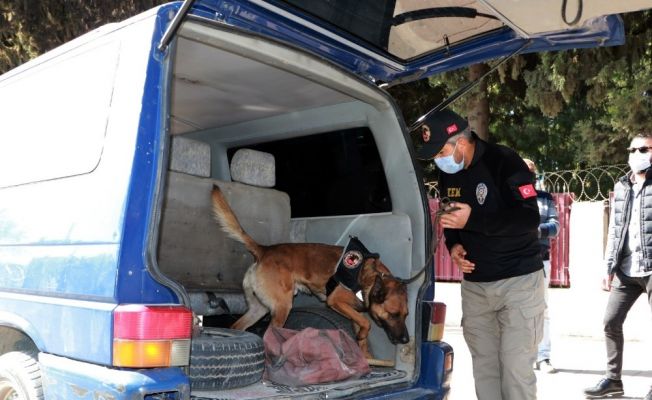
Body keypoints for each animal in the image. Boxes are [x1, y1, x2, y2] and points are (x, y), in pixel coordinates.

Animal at [211, 184, 410, 356]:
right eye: (393, 314)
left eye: (406, 315)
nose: (406, 340)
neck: (369, 276)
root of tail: (264, 250)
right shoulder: (335, 301)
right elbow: (366, 323)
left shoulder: (354, 313)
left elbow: (362, 333)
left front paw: (365, 356)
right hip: (282, 306)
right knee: (269, 334)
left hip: (259, 309)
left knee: (237, 327)